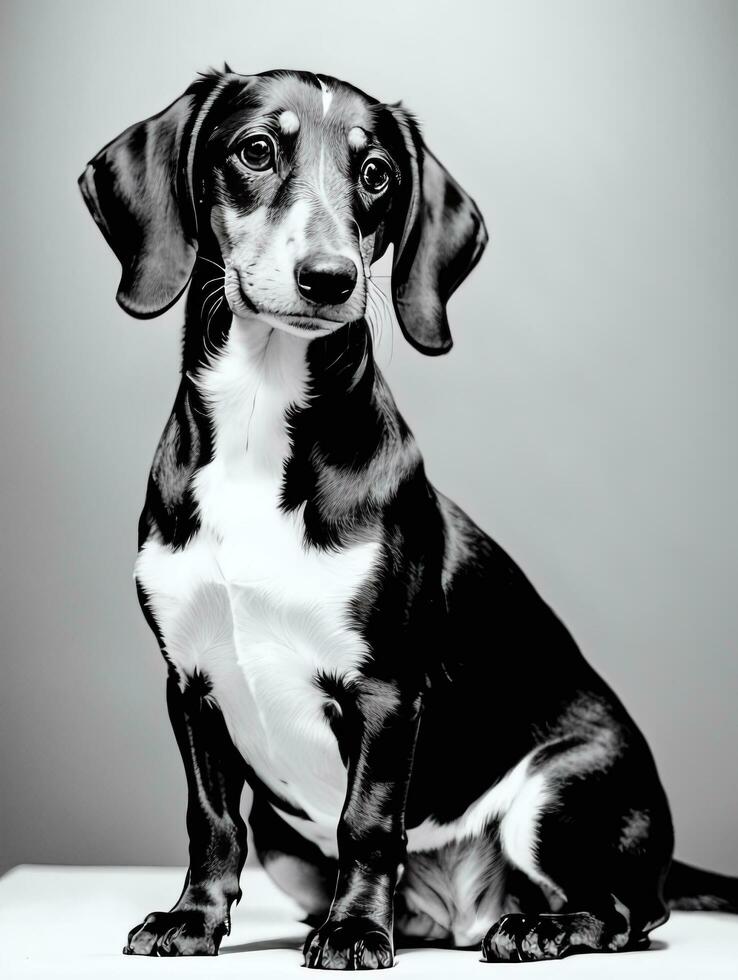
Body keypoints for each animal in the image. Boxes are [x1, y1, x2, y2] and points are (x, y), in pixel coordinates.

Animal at [77, 67, 732, 964]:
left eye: (377, 172)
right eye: (256, 150)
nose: (329, 278)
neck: (258, 426)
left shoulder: (386, 693)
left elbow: (368, 822)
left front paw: (356, 929)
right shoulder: (191, 681)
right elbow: (209, 822)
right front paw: (193, 920)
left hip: (557, 791)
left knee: (630, 912)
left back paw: (536, 927)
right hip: (287, 840)